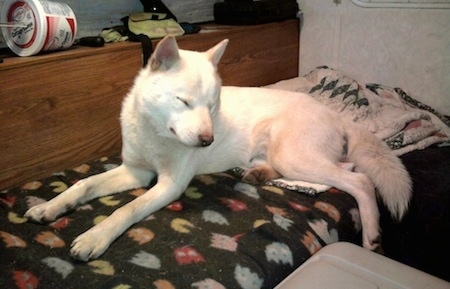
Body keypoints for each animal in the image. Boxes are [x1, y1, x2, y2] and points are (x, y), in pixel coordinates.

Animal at [24, 35, 412, 260]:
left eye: (212, 105)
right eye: (183, 101)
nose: (207, 142)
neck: (155, 133)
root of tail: (336, 115)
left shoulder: (168, 185)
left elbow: (127, 209)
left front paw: (95, 237)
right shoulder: (135, 171)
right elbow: (82, 184)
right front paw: (51, 206)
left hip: (296, 155)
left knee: (357, 178)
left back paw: (372, 235)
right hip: (285, 156)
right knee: (341, 170)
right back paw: (258, 173)